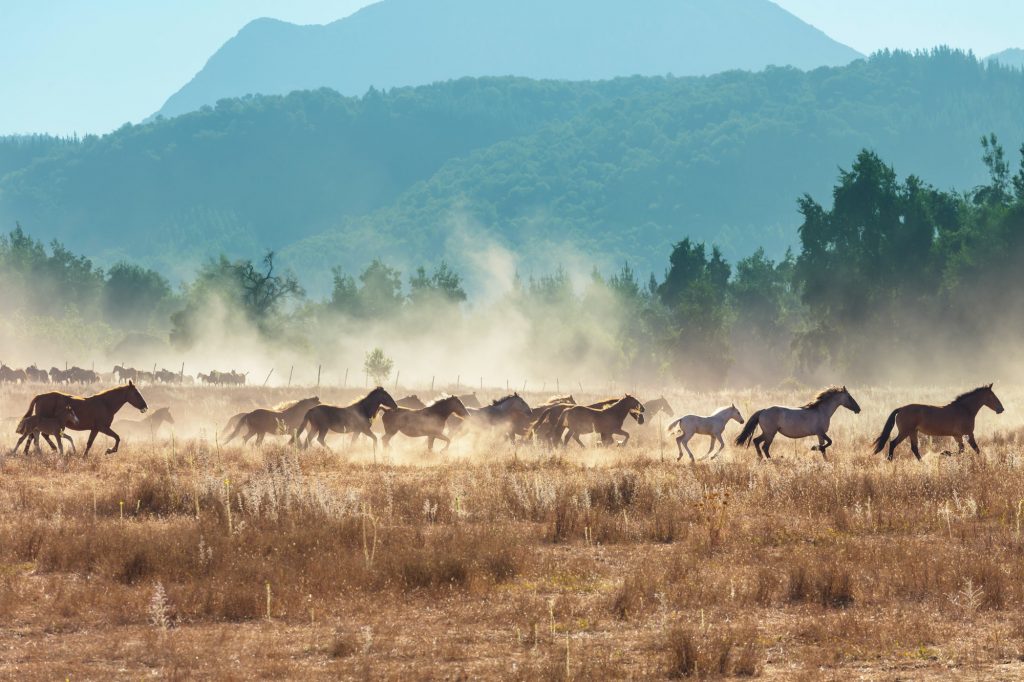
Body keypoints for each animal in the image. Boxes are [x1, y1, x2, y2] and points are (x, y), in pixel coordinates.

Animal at [19, 381, 149, 455]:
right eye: (136, 393)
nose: (145, 406)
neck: (106, 403)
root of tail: (40, 396)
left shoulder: (95, 429)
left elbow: (89, 443)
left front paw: (84, 457)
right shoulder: (103, 428)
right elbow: (117, 437)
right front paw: (110, 450)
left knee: (34, 436)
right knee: (36, 436)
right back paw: (50, 449)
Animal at [871, 384, 1004, 461]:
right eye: (992, 396)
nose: (1001, 409)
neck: (965, 409)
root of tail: (901, 409)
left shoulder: (957, 436)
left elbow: (962, 450)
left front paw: (945, 453)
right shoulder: (968, 434)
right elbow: (975, 449)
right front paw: (944, 453)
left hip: (913, 432)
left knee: (914, 448)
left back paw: (922, 462)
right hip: (905, 432)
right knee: (893, 443)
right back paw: (890, 460)